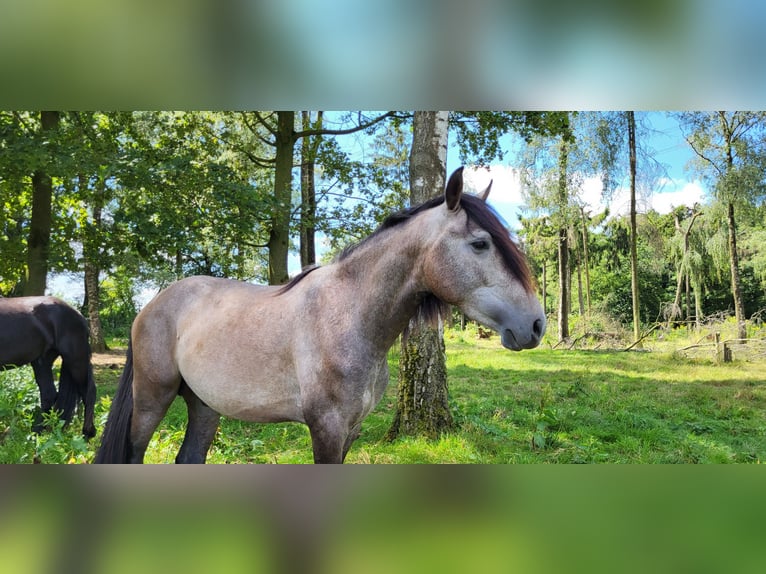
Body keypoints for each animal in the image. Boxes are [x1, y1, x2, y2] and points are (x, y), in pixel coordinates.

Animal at [0, 300, 97, 438]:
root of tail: (79, 314)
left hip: (75, 360)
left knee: (88, 392)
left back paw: (87, 434)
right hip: (42, 361)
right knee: (48, 395)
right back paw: (37, 432)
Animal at [96, 169, 548, 466]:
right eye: (480, 243)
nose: (535, 324)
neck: (349, 316)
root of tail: (154, 304)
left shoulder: (351, 430)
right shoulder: (326, 428)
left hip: (205, 406)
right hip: (152, 399)